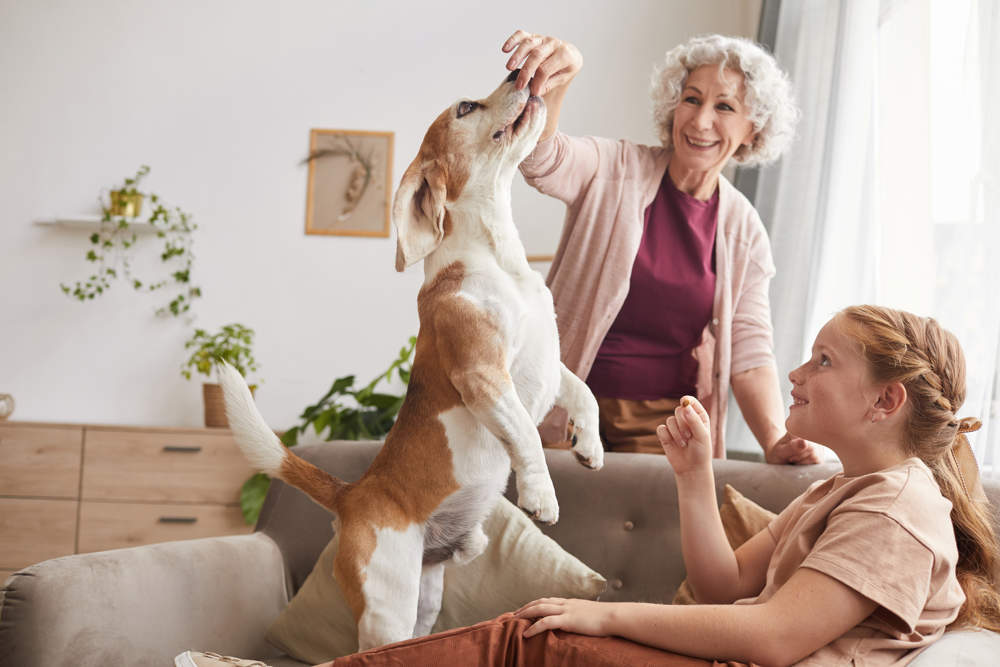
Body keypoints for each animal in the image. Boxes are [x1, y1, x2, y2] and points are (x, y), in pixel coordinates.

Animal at [221, 72, 600, 652]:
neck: (498, 257)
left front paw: (589, 445)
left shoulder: (548, 361)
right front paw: (542, 493)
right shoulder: (484, 375)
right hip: (387, 607)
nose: (519, 74)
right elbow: (527, 437)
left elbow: (586, 393)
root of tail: (351, 495)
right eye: (466, 108)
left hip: (423, 603)